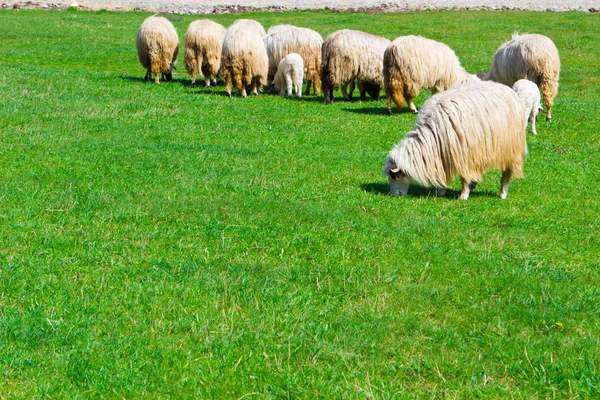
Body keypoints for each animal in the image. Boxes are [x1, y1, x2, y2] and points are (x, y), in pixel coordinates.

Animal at [382, 81, 528, 200]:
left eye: (393, 176)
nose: (393, 195)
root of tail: (507, 89)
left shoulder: (462, 155)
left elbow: (463, 178)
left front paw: (463, 195)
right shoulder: (444, 154)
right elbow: (444, 173)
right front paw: (441, 191)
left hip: (510, 148)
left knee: (506, 173)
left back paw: (502, 193)